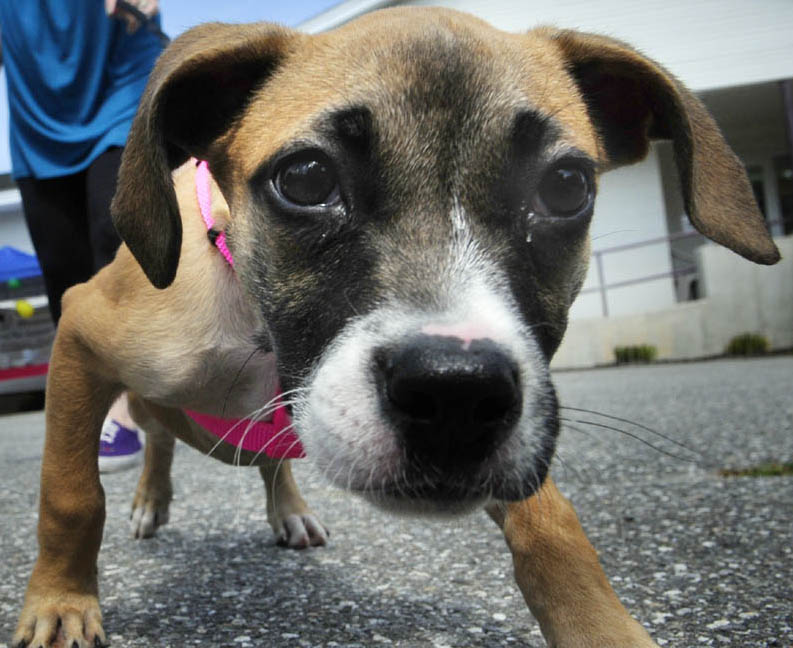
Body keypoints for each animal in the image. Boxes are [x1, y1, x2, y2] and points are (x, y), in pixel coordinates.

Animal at [13, 6, 780, 648]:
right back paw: (151, 498)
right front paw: (60, 604)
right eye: (305, 178)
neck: (264, 337)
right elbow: (71, 496)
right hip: (149, 396)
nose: (456, 395)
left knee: (264, 460)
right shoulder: (79, 333)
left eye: (566, 186)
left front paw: (601, 629)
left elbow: (552, 525)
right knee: (157, 435)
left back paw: (287, 508)